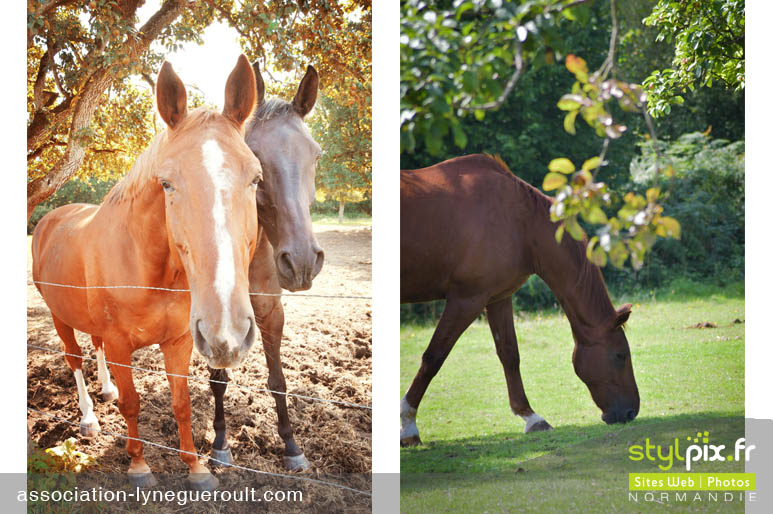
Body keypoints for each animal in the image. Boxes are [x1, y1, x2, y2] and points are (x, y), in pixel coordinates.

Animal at [31, 56, 260, 488]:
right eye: (166, 183)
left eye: (256, 178)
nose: (227, 333)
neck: (152, 272)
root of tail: (53, 217)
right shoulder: (122, 346)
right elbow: (133, 404)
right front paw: (138, 465)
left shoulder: (180, 342)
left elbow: (181, 404)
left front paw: (196, 468)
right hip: (59, 316)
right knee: (74, 359)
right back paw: (89, 418)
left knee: (95, 349)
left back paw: (105, 390)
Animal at [205, 60, 322, 468]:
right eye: (253, 155)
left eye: (316, 155)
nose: (302, 261)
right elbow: (218, 379)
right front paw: (220, 444)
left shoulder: (272, 310)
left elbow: (278, 381)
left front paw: (292, 448)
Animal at [398, 153, 640, 444]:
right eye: (620, 355)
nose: (631, 411)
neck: (520, 223)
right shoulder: (466, 300)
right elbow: (434, 357)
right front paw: (408, 425)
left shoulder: (497, 298)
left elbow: (510, 355)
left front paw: (531, 417)